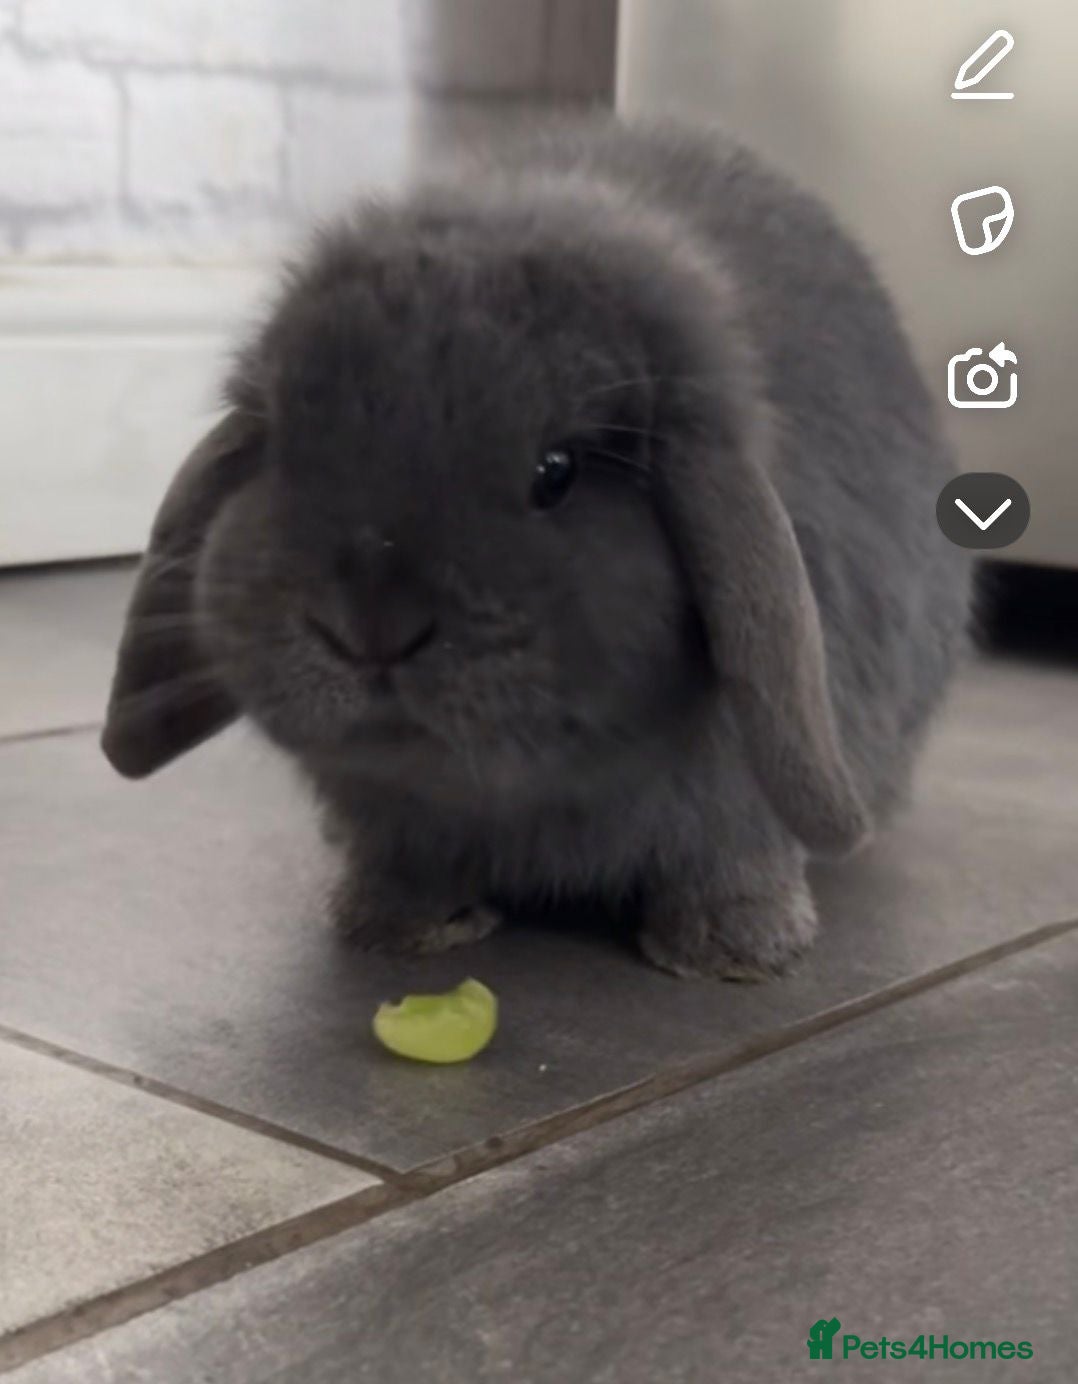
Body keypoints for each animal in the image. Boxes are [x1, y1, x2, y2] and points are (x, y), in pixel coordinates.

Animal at [101, 113, 971, 979]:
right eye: (282, 444)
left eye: (557, 472)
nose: (370, 627)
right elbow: (407, 861)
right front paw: (397, 927)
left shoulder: (742, 797)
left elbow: (730, 857)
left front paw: (732, 950)